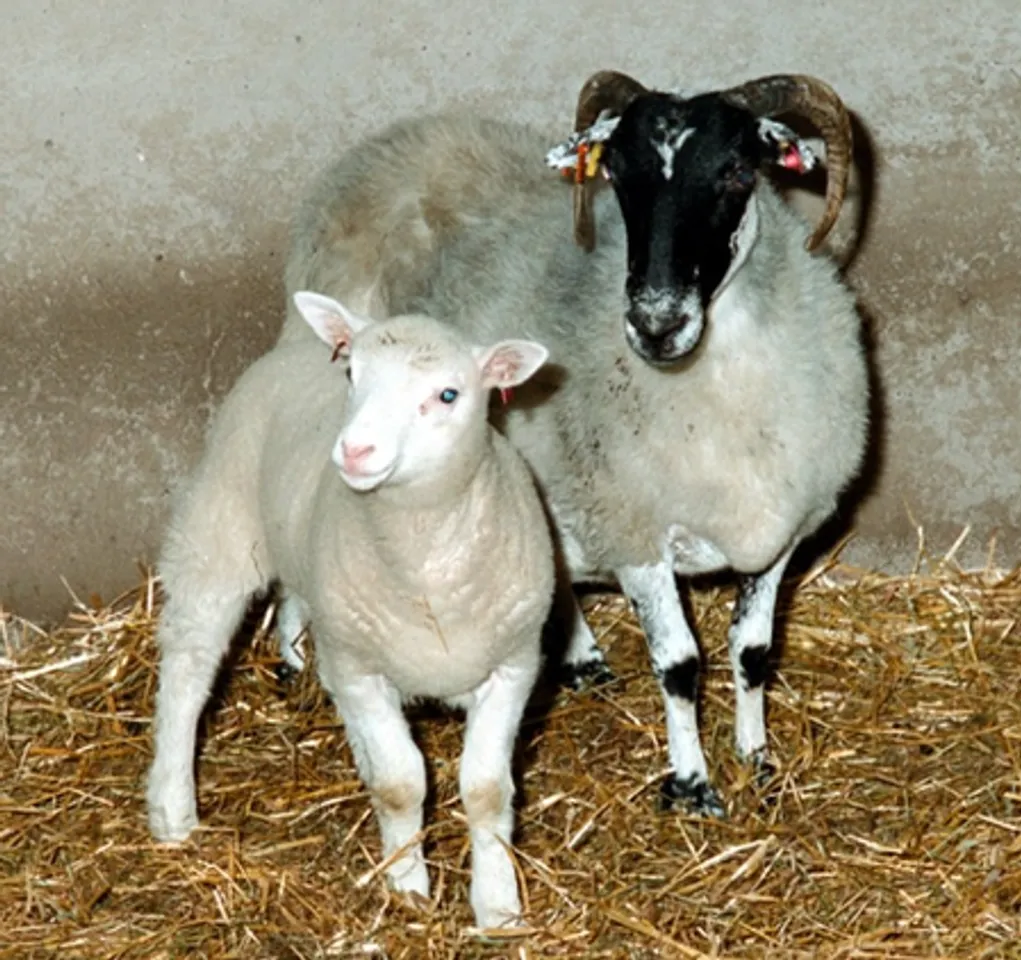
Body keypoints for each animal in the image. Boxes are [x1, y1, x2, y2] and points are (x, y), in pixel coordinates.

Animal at [145, 291, 554, 929]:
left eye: (448, 394)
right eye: (353, 375)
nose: (355, 450)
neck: (425, 567)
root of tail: (295, 349)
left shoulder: (514, 666)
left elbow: (487, 790)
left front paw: (497, 906)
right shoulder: (360, 669)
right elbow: (400, 784)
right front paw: (408, 889)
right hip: (220, 528)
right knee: (188, 669)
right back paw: (172, 809)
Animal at [276, 72, 870, 818]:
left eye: (736, 171)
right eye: (616, 173)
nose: (654, 322)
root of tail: (391, 143)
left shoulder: (780, 532)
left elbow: (753, 651)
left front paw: (757, 761)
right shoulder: (633, 529)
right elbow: (679, 664)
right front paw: (692, 784)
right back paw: (293, 656)